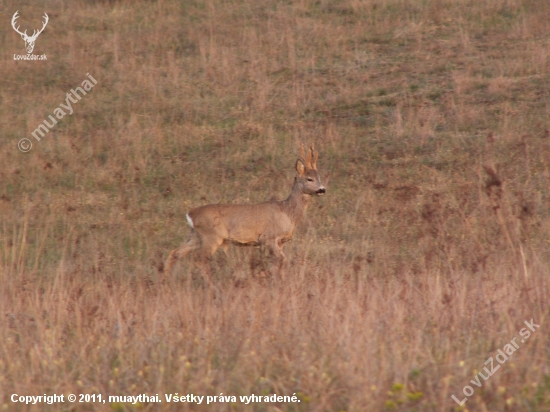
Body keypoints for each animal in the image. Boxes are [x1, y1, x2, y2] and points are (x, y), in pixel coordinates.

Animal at [165, 143, 328, 282]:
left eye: (319, 177)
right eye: (309, 178)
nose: (322, 189)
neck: (287, 212)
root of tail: (190, 214)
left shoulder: (280, 242)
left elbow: (279, 263)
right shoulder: (268, 237)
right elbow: (282, 260)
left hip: (196, 236)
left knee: (175, 253)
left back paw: (167, 281)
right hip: (212, 236)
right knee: (200, 261)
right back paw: (211, 285)